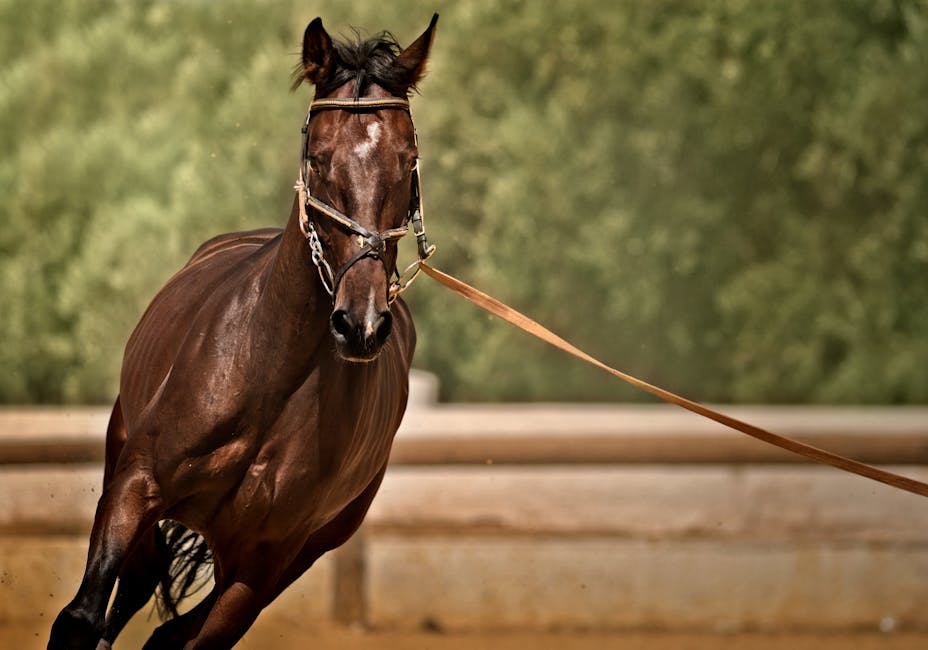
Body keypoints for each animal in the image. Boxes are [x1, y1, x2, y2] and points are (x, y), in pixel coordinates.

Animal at [49, 15, 440, 648]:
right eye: (318, 158)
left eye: (407, 162)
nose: (360, 325)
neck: (266, 382)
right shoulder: (135, 487)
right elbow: (81, 617)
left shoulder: (263, 563)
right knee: (136, 585)